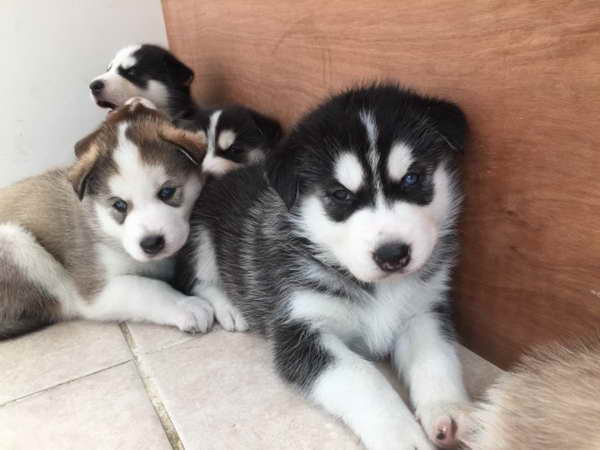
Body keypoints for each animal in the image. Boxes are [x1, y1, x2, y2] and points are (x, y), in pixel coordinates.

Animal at [176, 85, 472, 450]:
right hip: (200, 234)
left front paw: (449, 408)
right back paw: (230, 307)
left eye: (413, 178)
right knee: (201, 279)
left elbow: (437, 356)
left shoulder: (423, 311)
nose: (393, 254)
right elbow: (363, 378)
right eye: (340, 195)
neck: (377, 286)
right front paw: (402, 435)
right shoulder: (300, 330)